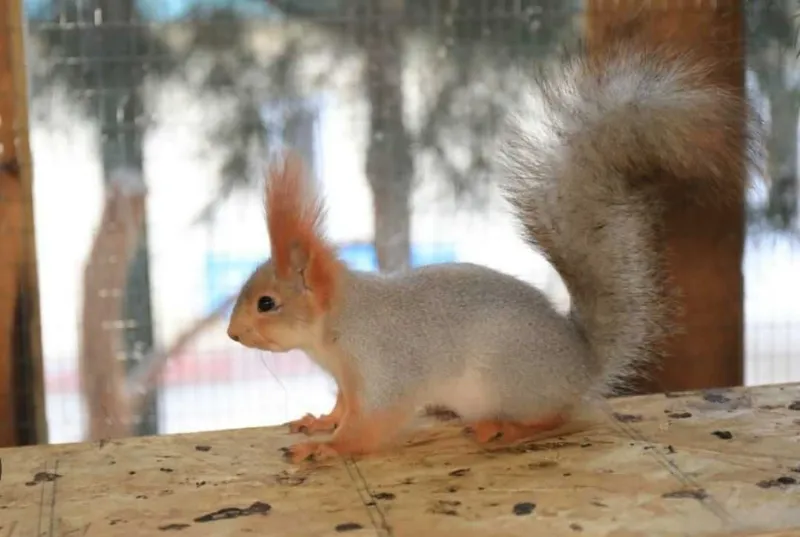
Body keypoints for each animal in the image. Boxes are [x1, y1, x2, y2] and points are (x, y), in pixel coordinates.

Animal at [226, 32, 761, 464]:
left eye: (267, 303)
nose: (232, 334)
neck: (337, 325)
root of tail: (582, 366)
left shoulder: (386, 365)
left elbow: (372, 422)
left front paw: (326, 449)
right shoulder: (348, 379)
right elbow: (344, 407)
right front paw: (320, 422)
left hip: (505, 383)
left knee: (562, 416)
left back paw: (506, 429)